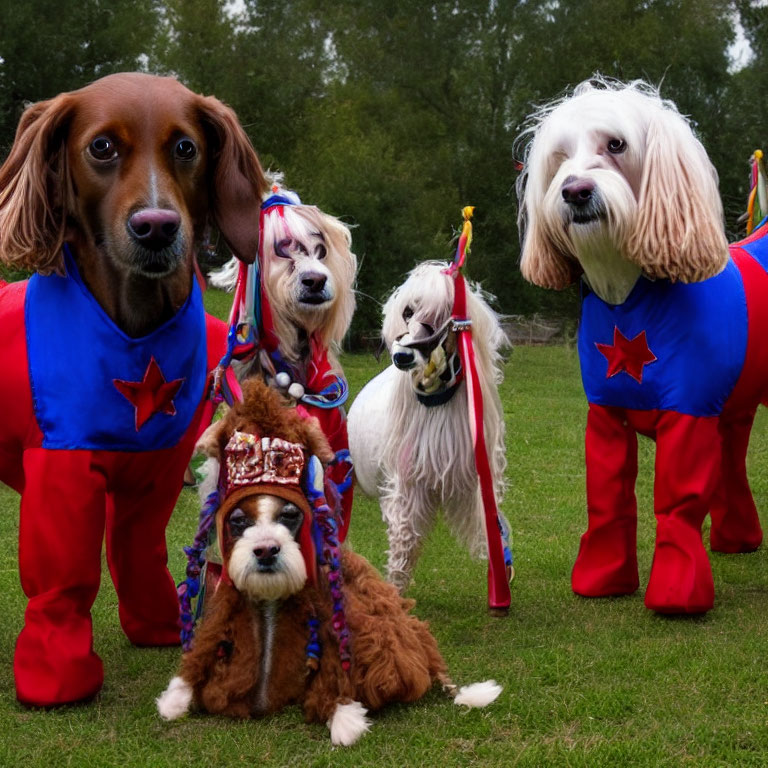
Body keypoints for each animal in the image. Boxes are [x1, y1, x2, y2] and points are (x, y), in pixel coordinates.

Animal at [0, 75, 268, 704]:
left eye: (186, 147)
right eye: (101, 148)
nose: (156, 226)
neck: (138, 332)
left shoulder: (157, 470)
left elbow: (139, 549)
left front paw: (161, 626)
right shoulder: (62, 470)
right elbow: (64, 575)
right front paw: (57, 675)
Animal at [348, 262, 510, 592]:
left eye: (441, 317)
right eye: (408, 311)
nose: (401, 356)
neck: (436, 402)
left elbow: (492, 527)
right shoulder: (407, 482)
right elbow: (405, 539)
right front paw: (396, 589)